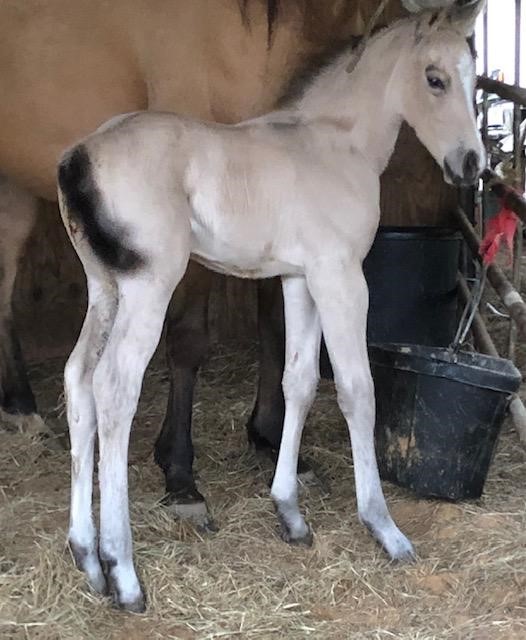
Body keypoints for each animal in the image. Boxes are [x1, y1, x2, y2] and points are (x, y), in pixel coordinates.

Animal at [57, 0, 486, 611]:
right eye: (434, 78)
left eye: (475, 78)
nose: (471, 164)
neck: (337, 144)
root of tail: (79, 158)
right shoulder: (341, 277)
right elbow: (357, 391)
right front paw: (385, 529)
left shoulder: (299, 278)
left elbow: (298, 382)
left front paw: (290, 513)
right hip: (148, 286)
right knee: (114, 386)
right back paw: (123, 571)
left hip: (105, 287)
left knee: (79, 380)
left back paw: (87, 557)